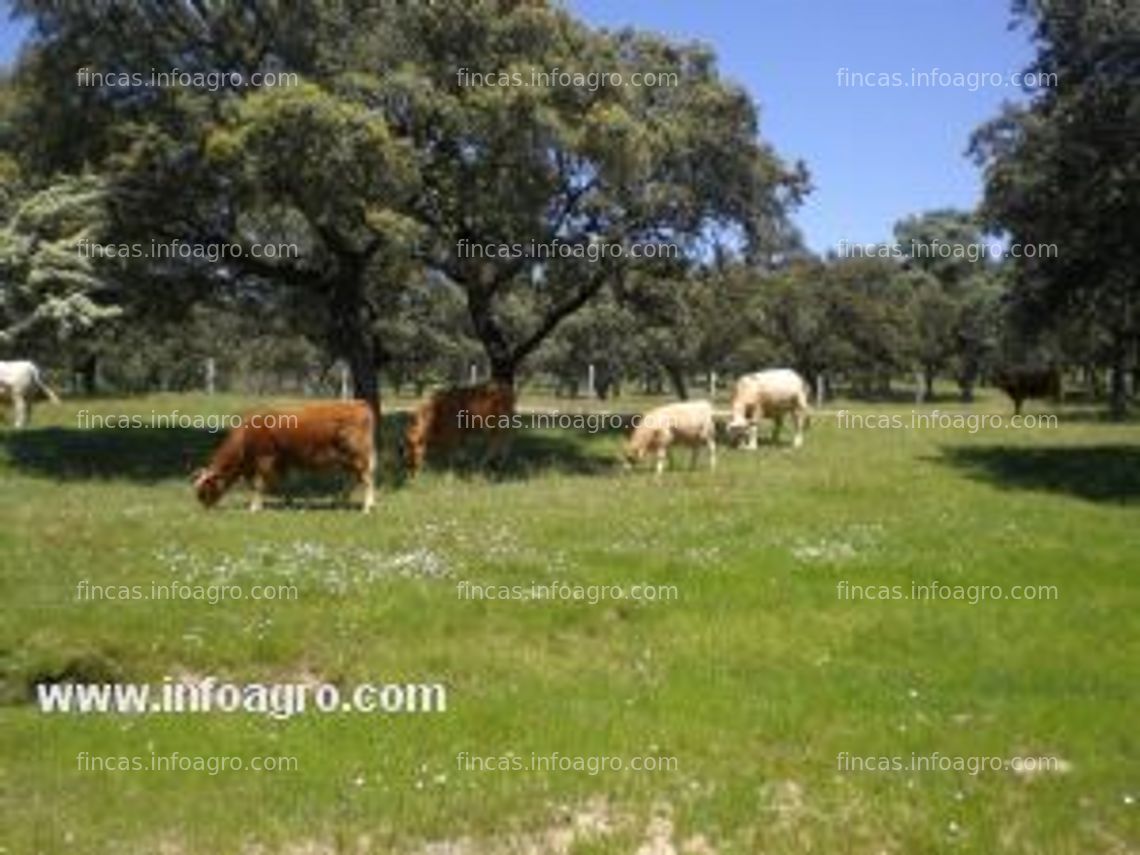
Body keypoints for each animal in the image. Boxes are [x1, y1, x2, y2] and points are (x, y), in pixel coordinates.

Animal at [192, 403, 373, 515]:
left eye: (204, 489)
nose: (204, 507)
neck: (246, 435)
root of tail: (358, 404)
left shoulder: (264, 459)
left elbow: (258, 485)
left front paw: (254, 507)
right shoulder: (281, 461)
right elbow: (284, 485)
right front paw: (288, 503)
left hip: (358, 456)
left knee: (366, 480)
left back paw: (367, 507)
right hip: (348, 460)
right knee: (352, 480)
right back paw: (340, 503)